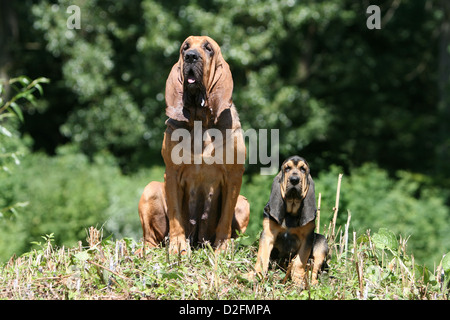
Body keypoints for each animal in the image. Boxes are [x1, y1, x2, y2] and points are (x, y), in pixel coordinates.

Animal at [139, 35, 248, 254]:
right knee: (150, 240)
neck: (200, 120)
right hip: (150, 190)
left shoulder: (234, 175)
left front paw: (222, 247)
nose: (190, 56)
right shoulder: (172, 173)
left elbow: (225, 219)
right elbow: (176, 216)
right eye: (185, 47)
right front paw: (178, 246)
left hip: (244, 202)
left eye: (208, 48)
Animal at [253, 156, 326, 288]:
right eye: (287, 168)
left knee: (314, 270)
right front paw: (256, 275)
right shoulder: (268, 234)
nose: (294, 180)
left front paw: (298, 280)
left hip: (322, 242)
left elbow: (299, 262)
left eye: (303, 169)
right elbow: (262, 256)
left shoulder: (307, 238)